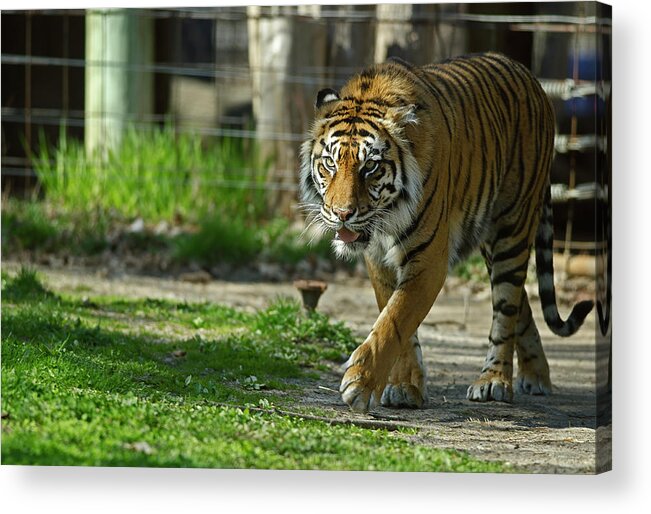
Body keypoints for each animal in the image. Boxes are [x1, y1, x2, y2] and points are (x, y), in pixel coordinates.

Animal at [300, 52, 596, 412]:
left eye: (370, 166)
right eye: (330, 163)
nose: (343, 214)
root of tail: (529, 76)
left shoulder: (428, 260)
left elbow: (395, 319)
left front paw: (360, 382)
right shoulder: (378, 260)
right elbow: (396, 318)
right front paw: (405, 386)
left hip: (512, 228)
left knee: (507, 307)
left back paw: (494, 381)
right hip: (489, 240)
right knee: (520, 300)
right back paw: (537, 374)